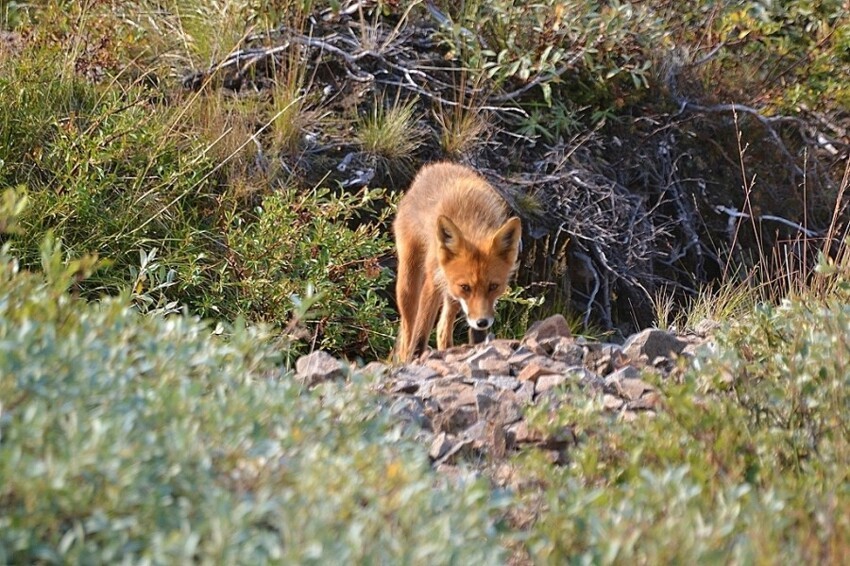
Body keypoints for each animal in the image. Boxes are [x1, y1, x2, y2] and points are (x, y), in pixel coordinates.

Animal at [394, 162, 520, 362]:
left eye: (493, 286)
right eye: (466, 287)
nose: (482, 321)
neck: (471, 220)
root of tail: (436, 165)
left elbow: (476, 335)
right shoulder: (433, 281)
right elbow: (420, 333)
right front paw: (414, 358)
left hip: (451, 295)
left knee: (441, 330)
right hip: (409, 283)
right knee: (408, 330)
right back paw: (404, 357)